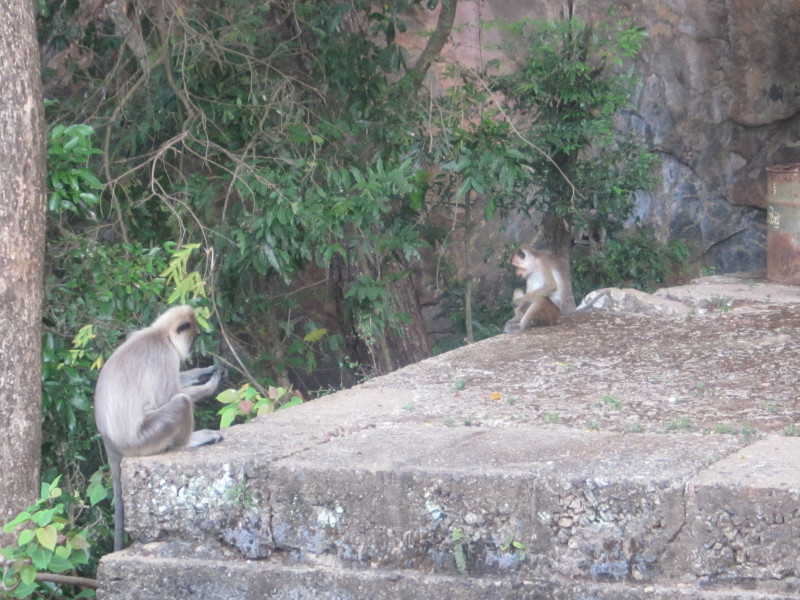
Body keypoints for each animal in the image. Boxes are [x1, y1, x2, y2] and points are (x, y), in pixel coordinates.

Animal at [94, 308, 225, 552]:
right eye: (193, 338)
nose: (192, 349)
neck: (159, 333)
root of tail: (109, 440)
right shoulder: (164, 355)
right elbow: (169, 396)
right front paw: (211, 384)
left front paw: (206, 371)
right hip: (146, 437)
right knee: (181, 401)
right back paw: (189, 442)